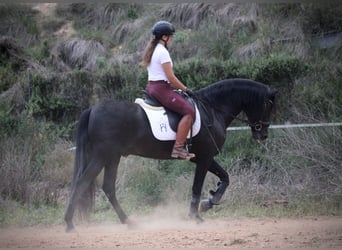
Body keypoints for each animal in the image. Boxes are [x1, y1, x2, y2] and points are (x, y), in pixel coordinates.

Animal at [65, 78, 278, 232]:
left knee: (108, 187)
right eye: (268, 106)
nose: (263, 135)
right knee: (82, 182)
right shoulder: (205, 157)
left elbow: (225, 177)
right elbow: (197, 185)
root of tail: (93, 109)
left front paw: (209, 202)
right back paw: (69, 224)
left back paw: (129, 222)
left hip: (112, 157)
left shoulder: (202, 157)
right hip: (102, 156)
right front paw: (196, 215)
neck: (212, 110)